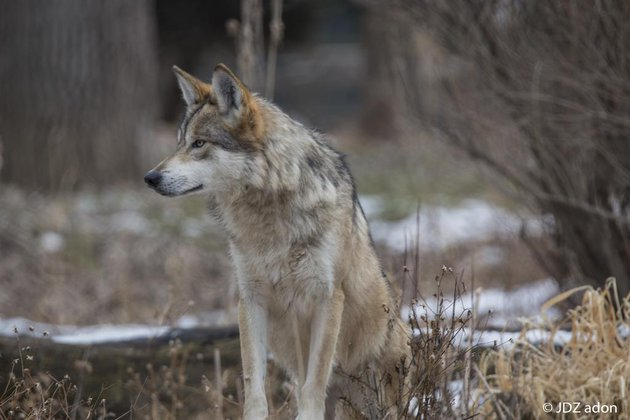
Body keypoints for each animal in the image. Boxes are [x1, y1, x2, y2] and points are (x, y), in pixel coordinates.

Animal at [146, 64, 412, 418]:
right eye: (179, 143)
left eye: (199, 143)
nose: (150, 178)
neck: (270, 216)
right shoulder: (251, 300)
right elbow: (254, 385)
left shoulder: (328, 298)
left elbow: (314, 384)